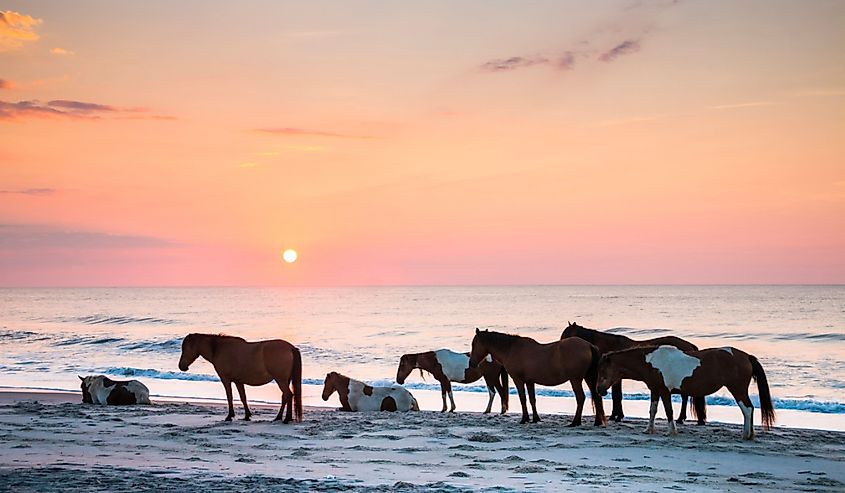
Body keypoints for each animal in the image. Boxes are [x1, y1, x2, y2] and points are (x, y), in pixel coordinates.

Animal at [468, 326, 608, 426]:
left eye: (474, 344)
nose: (471, 363)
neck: (511, 349)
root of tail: (589, 345)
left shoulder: (518, 380)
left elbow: (523, 399)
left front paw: (524, 419)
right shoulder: (530, 381)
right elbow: (532, 399)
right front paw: (535, 418)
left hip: (576, 379)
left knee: (581, 398)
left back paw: (575, 422)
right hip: (588, 377)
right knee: (596, 397)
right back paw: (597, 422)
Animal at [556, 320, 704, 422]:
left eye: (566, 336)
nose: (560, 351)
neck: (610, 346)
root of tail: (689, 346)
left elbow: (617, 396)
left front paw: (616, 416)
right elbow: (617, 395)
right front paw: (616, 415)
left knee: (684, 397)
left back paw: (680, 418)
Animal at [592, 344, 772, 440]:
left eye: (602, 371)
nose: (599, 390)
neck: (651, 362)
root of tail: (746, 356)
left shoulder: (664, 391)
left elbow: (669, 411)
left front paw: (671, 431)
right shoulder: (655, 390)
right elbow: (653, 410)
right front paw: (649, 430)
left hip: (737, 389)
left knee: (747, 409)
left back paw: (745, 434)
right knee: (750, 409)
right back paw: (750, 434)